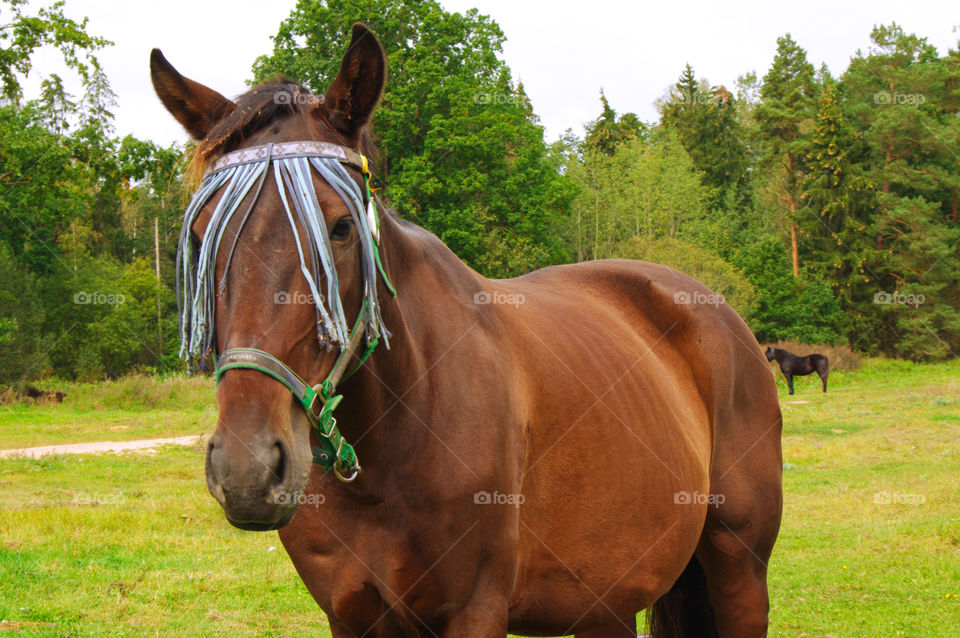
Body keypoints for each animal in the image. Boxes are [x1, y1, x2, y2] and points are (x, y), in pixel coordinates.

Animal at [151, 24, 782, 638]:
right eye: (201, 235)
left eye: (340, 228)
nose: (248, 469)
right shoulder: (349, 616)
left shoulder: (474, 610)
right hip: (606, 602)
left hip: (740, 572)